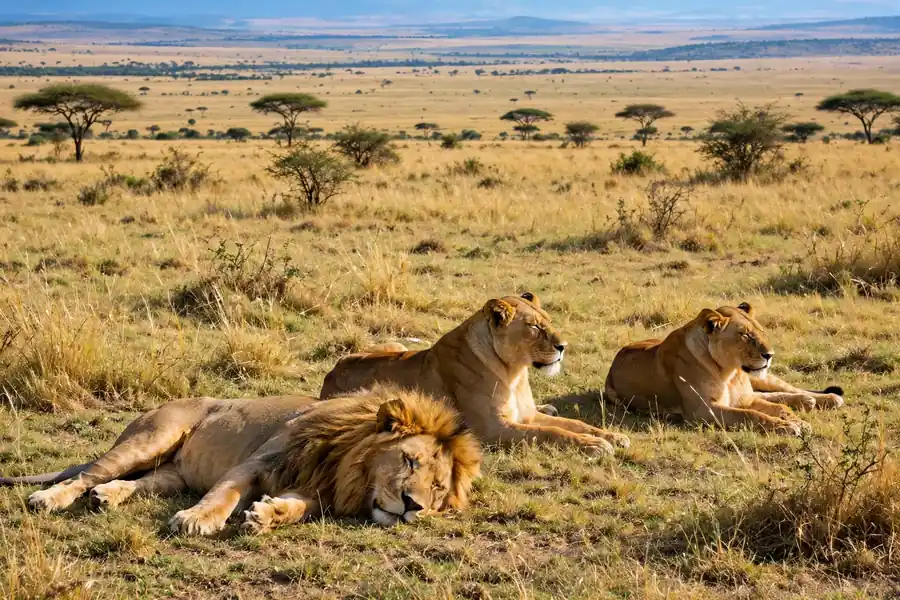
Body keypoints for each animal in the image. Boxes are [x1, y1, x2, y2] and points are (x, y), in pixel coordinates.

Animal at [0, 387, 481, 535]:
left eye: (438, 491)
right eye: (409, 461)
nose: (413, 506)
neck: (348, 468)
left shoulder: (319, 489)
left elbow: (300, 508)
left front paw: (267, 515)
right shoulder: (259, 461)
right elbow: (225, 494)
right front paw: (197, 520)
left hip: (175, 472)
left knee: (137, 482)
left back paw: (107, 497)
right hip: (151, 438)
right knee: (86, 474)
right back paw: (50, 498)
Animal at [321, 292, 630, 456]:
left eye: (549, 322)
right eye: (534, 327)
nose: (563, 347)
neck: (515, 372)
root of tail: (329, 375)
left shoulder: (526, 416)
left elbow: (574, 424)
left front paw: (612, 436)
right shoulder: (492, 429)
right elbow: (551, 433)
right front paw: (596, 445)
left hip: (397, 346)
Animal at [604, 302, 845, 435]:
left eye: (760, 331)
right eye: (745, 335)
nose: (770, 355)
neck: (730, 372)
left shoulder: (742, 399)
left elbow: (777, 408)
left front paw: (796, 421)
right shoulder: (705, 411)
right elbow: (753, 415)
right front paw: (787, 426)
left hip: (762, 378)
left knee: (787, 389)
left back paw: (826, 398)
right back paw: (810, 401)